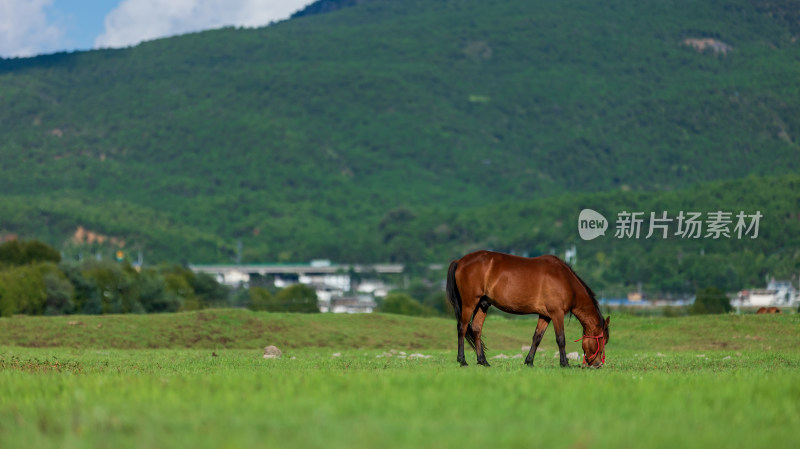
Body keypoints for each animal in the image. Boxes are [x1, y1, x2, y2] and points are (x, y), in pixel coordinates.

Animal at [446, 248, 608, 368]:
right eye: (602, 340)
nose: (597, 365)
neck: (565, 280)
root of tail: (460, 261)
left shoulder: (545, 315)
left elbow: (537, 337)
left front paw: (529, 361)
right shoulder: (557, 313)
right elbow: (560, 338)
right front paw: (564, 363)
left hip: (482, 305)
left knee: (476, 329)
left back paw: (483, 361)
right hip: (469, 303)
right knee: (462, 328)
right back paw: (462, 360)